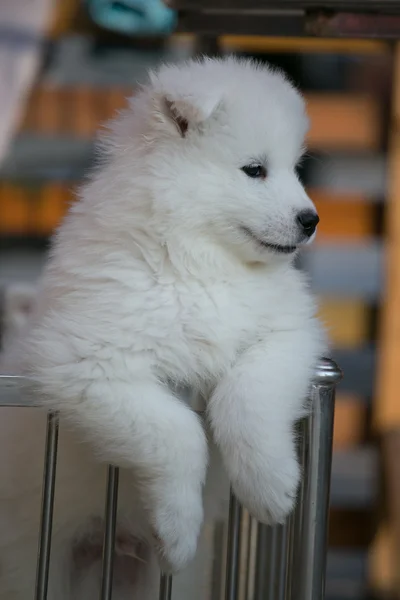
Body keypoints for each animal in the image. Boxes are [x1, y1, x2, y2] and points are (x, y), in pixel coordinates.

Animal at [0, 57, 324, 600]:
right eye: (255, 169)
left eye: (296, 168)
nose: (311, 219)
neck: (198, 261)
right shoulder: (89, 367)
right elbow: (177, 431)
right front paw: (177, 529)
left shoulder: (287, 337)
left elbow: (247, 395)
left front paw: (270, 488)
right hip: (29, 565)